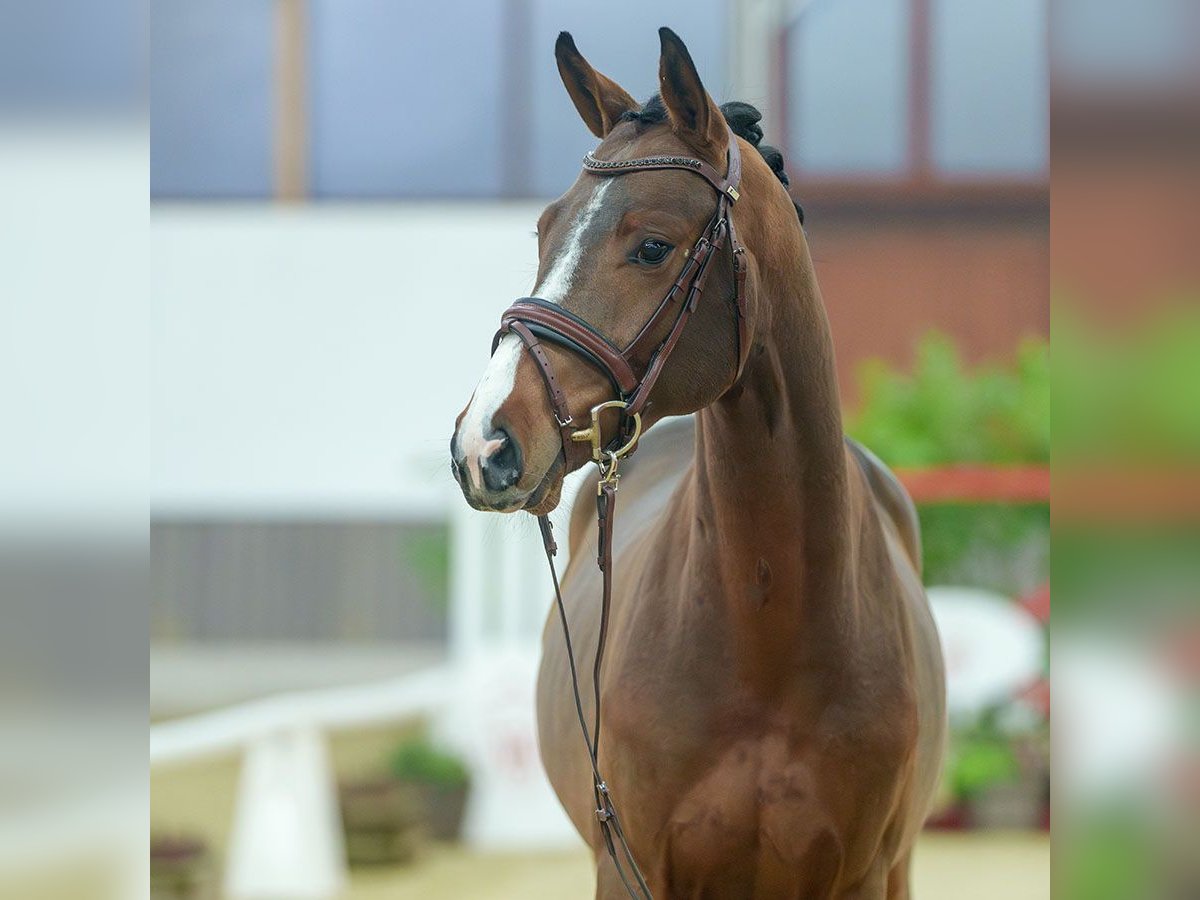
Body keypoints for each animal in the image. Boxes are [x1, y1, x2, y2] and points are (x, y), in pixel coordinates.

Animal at [451, 26, 945, 897]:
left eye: (652, 246)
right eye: (544, 231)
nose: (485, 443)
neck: (767, 634)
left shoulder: (860, 875)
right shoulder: (627, 867)